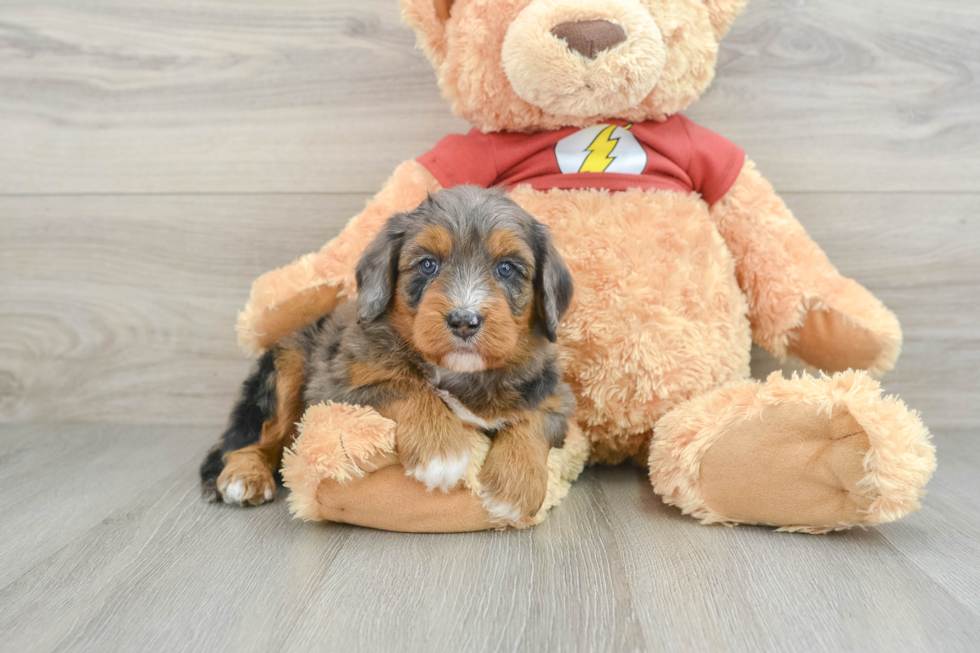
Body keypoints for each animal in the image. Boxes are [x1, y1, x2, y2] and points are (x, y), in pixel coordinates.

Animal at [203, 186, 580, 524]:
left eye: (507, 268)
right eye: (428, 264)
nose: (464, 321)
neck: (459, 373)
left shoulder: (553, 393)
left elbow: (532, 419)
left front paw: (515, 489)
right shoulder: (337, 387)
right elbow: (406, 387)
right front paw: (441, 451)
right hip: (287, 367)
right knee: (251, 435)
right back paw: (244, 477)